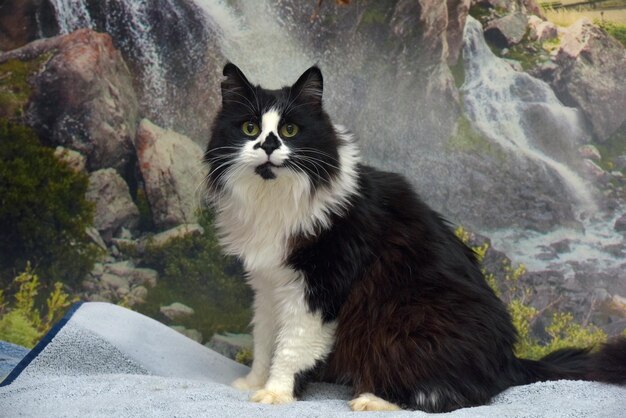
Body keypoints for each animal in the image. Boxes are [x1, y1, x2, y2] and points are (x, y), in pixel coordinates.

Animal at [205, 62, 624, 412]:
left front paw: (276, 394)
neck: (272, 202)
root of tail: (511, 361)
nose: (268, 146)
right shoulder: (268, 284)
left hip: (408, 319)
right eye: (249, 128)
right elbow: (264, 340)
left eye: (290, 130)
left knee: (454, 395)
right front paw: (253, 383)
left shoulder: (319, 285)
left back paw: (373, 399)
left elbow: (291, 346)